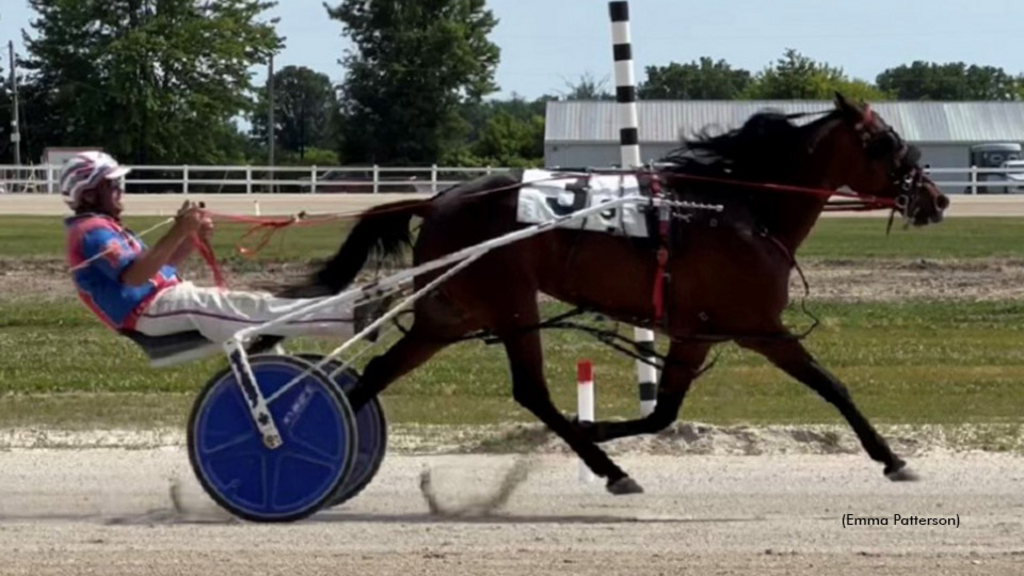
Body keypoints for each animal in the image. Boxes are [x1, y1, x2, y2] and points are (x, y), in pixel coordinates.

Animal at [284, 94, 946, 494]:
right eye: (887, 143)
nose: (935, 198)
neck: (739, 207)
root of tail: (439, 200)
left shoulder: (696, 331)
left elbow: (664, 413)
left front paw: (603, 428)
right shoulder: (760, 327)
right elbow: (832, 386)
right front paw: (892, 457)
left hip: (449, 314)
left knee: (375, 374)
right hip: (509, 302)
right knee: (529, 390)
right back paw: (609, 469)